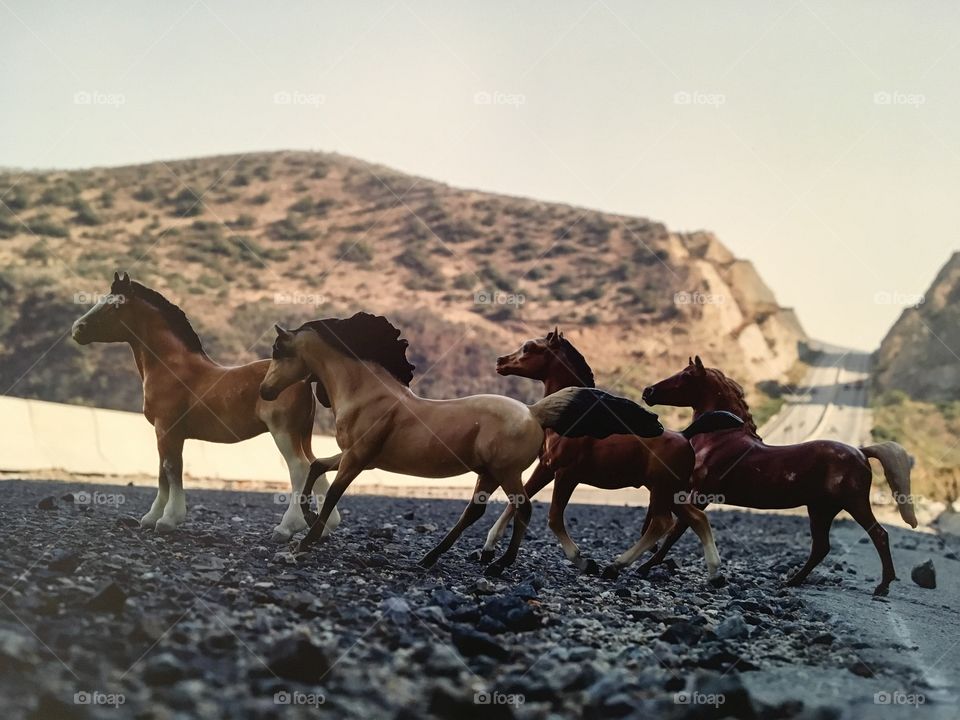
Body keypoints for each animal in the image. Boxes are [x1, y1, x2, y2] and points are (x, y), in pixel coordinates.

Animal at [71, 272, 341, 541]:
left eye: (115, 306)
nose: (77, 329)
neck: (171, 368)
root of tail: (304, 379)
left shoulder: (167, 429)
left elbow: (171, 469)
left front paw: (168, 520)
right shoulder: (165, 433)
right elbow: (162, 471)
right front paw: (151, 518)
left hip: (283, 433)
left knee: (299, 469)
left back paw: (286, 527)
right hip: (302, 435)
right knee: (315, 465)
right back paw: (325, 527)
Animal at [258, 313, 666, 576]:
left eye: (279, 350)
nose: (265, 391)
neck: (368, 394)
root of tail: (534, 412)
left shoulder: (357, 458)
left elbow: (333, 492)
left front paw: (305, 542)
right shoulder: (354, 455)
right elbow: (315, 468)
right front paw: (307, 520)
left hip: (507, 473)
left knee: (523, 509)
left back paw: (499, 564)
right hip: (489, 474)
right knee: (475, 512)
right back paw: (431, 558)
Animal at [476, 329, 743, 583]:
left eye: (529, 347)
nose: (500, 362)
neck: (575, 416)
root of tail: (686, 434)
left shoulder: (566, 474)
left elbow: (553, 518)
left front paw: (584, 562)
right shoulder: (547, 467)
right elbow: (518, 502)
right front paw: (489, 551)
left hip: (661, 489)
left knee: (662, 522)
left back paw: (615, 566)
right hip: (671, 490)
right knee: (697, 518)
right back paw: (715, 575)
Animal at [640, 356, 918, 596]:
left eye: (686, 376)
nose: (648, 392)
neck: (720, 438)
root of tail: (861, 451)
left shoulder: (700, 495)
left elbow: (677, 529)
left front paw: (647, 564)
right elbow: (658, 514)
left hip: (853, 504)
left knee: (878, 535)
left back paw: (882, 587)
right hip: (821, 510)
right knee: (821, 547)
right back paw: (791, 581)